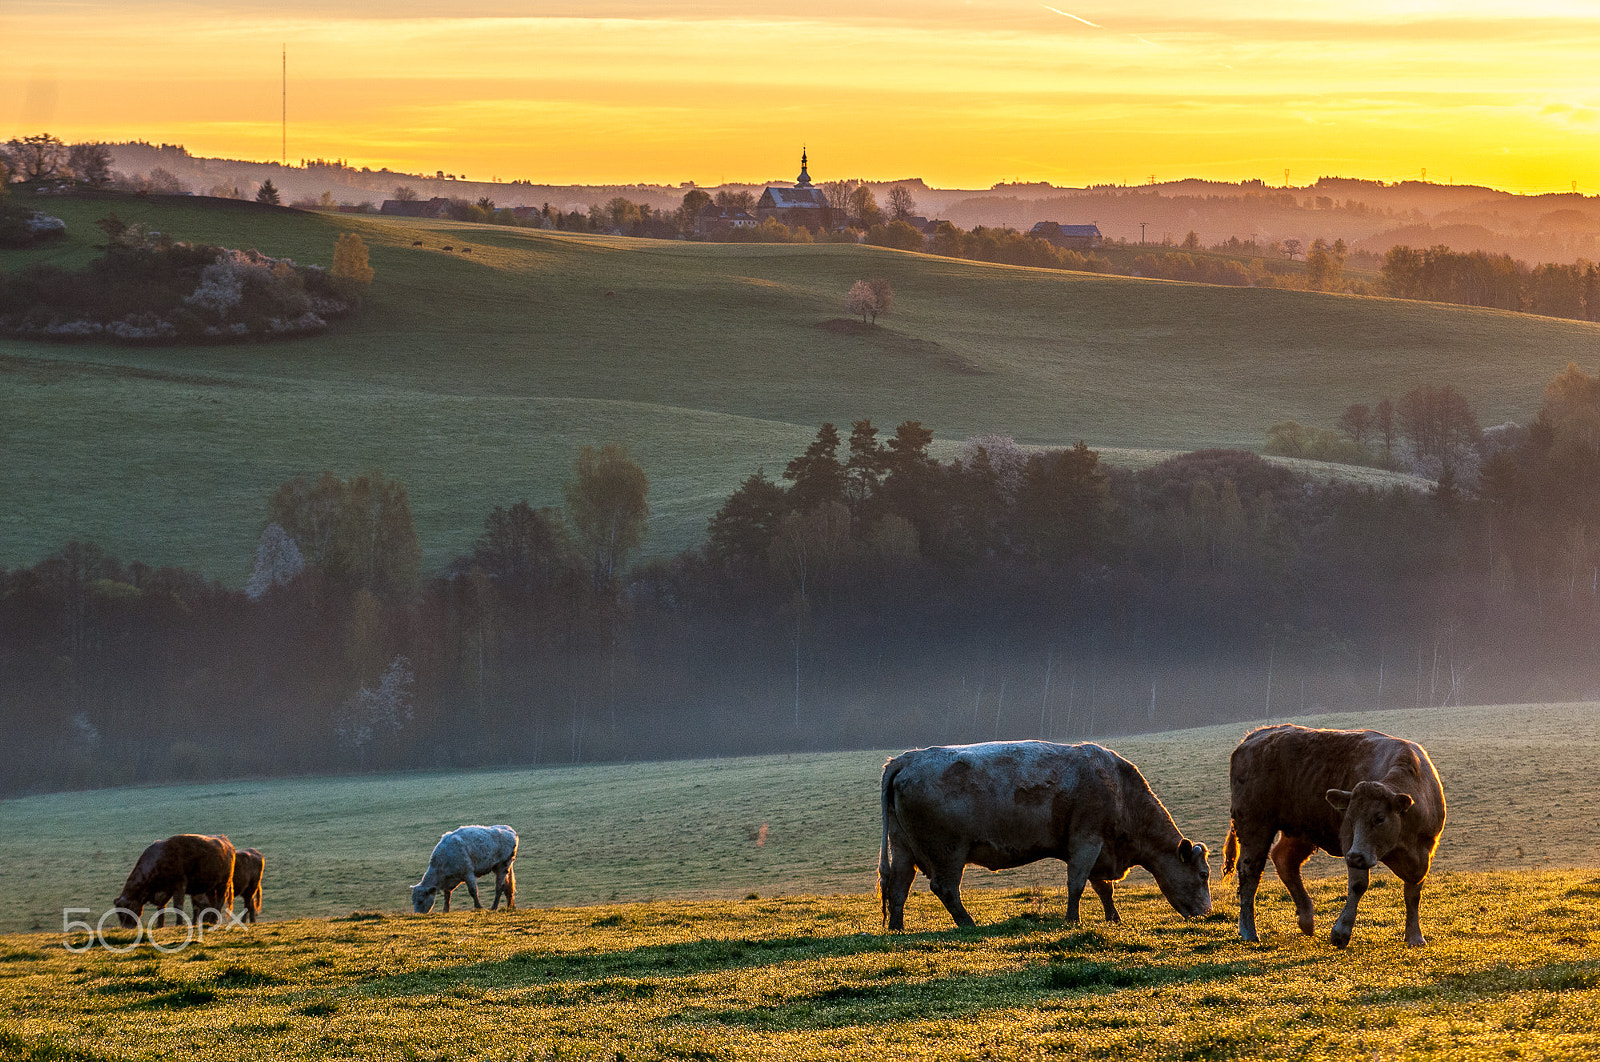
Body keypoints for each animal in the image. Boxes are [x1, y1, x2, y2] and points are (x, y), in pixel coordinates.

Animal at [876, 738, 1209, 927]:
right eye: (1204, 874)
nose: (1207, 912)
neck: (1119, 789)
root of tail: (906, 759)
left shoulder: (1099, 849)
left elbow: (1103, 888)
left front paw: (1113, 918)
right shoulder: (1086, 841)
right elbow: (1077, 884)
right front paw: (1072, 920)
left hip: (902, 848)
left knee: (899, 887)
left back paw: (897, 927)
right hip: (949, 853)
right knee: (944, 888)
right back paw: (968, 923)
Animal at [1222, 726, 1452, 946]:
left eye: (1379, 818)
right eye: (1349, 817)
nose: (1355, 856)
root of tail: (1256, 735)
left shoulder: (1425, 853)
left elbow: (1413, 893)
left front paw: (1415, 937)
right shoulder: (1350, 841)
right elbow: (1358, 885)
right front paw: (1341, 932)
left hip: (1302, 830)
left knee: (1284, 860)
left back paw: (1306, 919)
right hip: (1254, 825)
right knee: (1250, 873)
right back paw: (1249, 930)